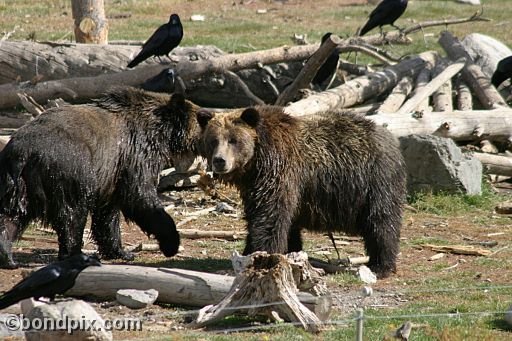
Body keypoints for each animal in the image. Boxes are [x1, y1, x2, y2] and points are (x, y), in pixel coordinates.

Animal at [0, 86, 203, 266]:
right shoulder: (135, 155)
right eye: (203, 118)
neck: (160, 133)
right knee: (72, 215)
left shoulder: (111, 175)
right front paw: (171, 243)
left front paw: (121, 251)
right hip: (67, 171)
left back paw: (7, 256)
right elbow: (139, 195)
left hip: (19, 183)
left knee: (12, 215)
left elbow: (107, 215)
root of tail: (24, 152)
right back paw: (76, 254)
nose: (207, 115)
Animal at [198, 105, 406, 276]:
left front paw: (261, 255)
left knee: (381, 222)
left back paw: (381, 266)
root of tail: (391, 139)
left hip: (374, 180)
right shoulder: (254, 186)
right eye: (213, 140)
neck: (256, 161)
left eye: (233, 140)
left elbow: (270, 216)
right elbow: (270, 218)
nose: (219, 160)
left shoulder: (281, 170)